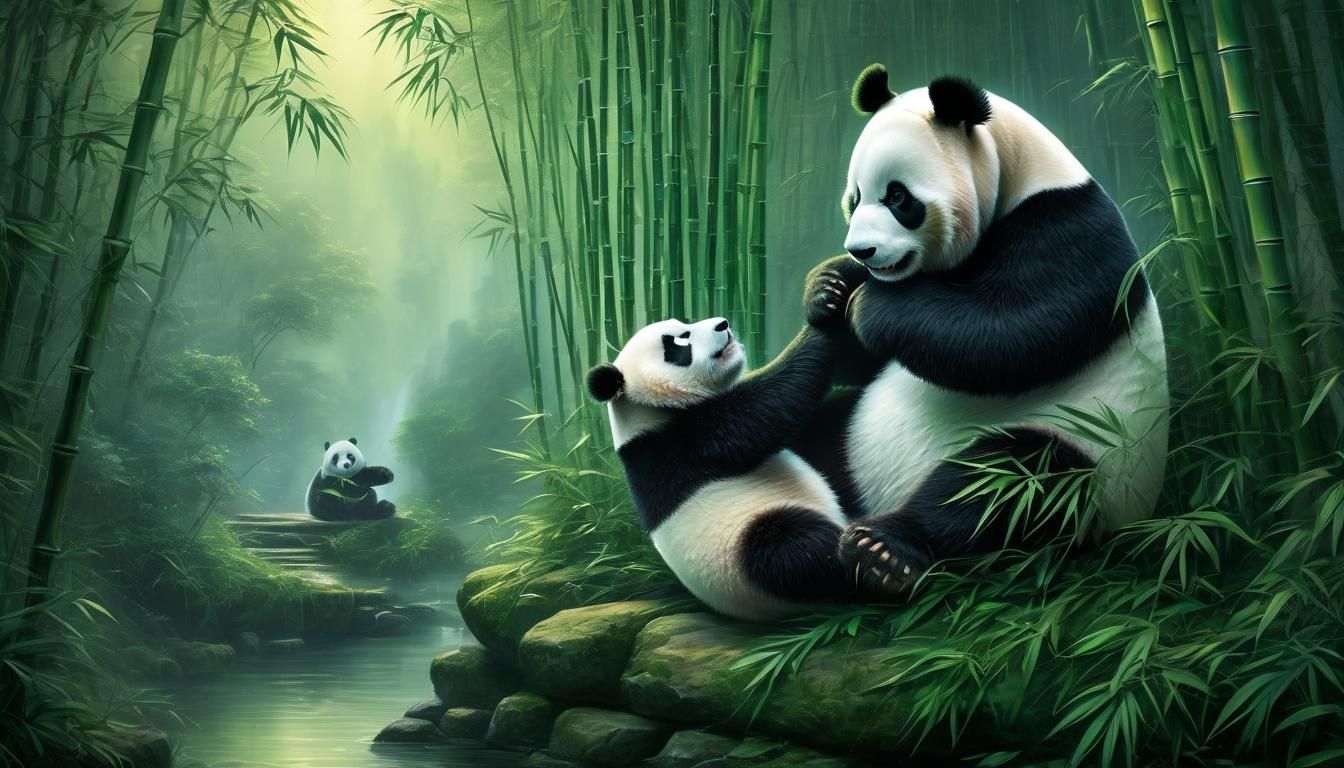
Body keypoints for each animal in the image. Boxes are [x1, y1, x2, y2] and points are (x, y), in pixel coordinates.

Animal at [586, 305, 876, 621]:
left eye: (686, 321)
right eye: (679, 342)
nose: (722, 324)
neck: (643, 414)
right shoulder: (684, 445)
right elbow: (770, 404)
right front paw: (823, 313)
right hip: (750, 550)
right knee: (788, 548)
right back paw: (870, 562)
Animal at [800, 66, 1169, 594]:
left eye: (897, 197)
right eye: (855, 199)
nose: (861, 251)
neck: (1022, 171)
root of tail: (875, 496)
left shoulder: (1068, 229)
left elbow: (1011, 332)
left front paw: (870, 305)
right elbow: (872, 360)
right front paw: (829, 288)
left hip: (1093, 452)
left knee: (1005, 487)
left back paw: (883, 552)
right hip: (852, 431)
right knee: (819, 436)